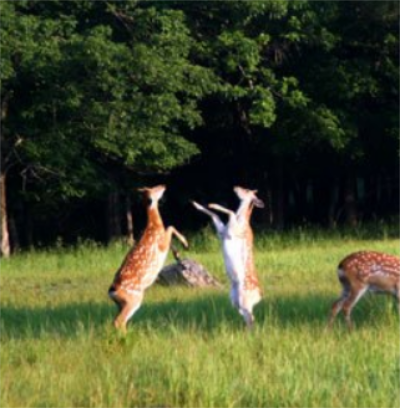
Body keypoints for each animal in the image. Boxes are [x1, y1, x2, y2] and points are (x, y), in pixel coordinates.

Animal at [108, 185, 188, 332]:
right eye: (154, 189)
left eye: (150, 187)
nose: (163, 185)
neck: (153, 226)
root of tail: (112, 291)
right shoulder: (161, 244)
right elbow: (170, 227)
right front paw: (185, 244)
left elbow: (170, 230)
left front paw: (178, 255)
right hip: (134, 298)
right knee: (119, 321)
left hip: (120, 304)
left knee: (119, 320)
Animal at [192, 186, 264, 328]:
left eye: (246, 190)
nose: (236, 187)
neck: (242, 219)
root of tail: (259, 296)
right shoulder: (222, 232)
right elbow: (215, 216)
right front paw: (195, 203)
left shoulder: (232, 230)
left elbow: (230, 212)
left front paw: (212, 204)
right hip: (235, 301)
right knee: (248, 317)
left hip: (244, 299)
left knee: (251, 319)